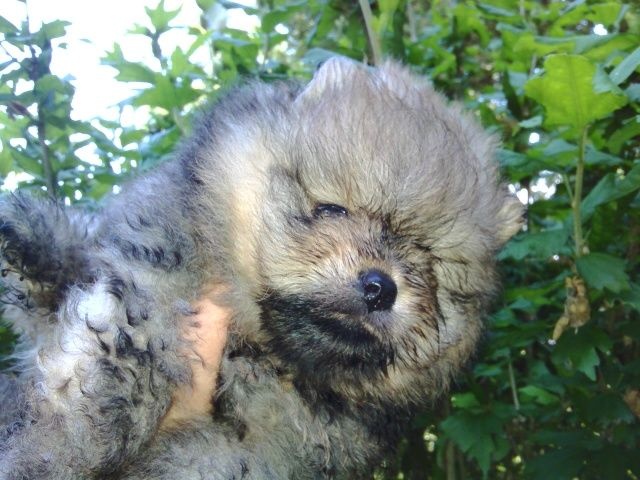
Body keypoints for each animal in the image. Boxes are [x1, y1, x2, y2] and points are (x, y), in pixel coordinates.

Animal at [0, 58, 520, 478]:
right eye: (332, 209)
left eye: (426, 258)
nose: (379, 287)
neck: (254, 347)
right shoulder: (149, 276)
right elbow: (106, 360)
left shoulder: (264, 448)